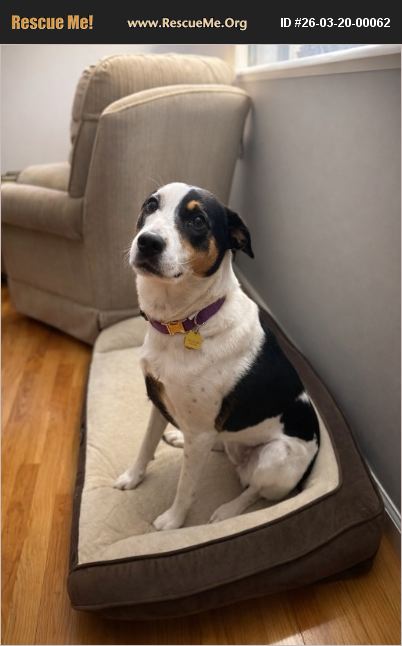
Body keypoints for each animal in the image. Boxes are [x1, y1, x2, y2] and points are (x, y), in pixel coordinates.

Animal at [114, 182, 320, 530]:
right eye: (151, 205)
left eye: (198, 220)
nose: (148, 242)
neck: (187, 321)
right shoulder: (159, 399)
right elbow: (146, 446)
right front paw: (132, 476)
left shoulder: (199, 431)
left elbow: (186, 487)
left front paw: (173, 521)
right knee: (221, 445)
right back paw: (180, 438)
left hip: (274, 459)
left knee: (254, 491)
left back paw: (227, 511)